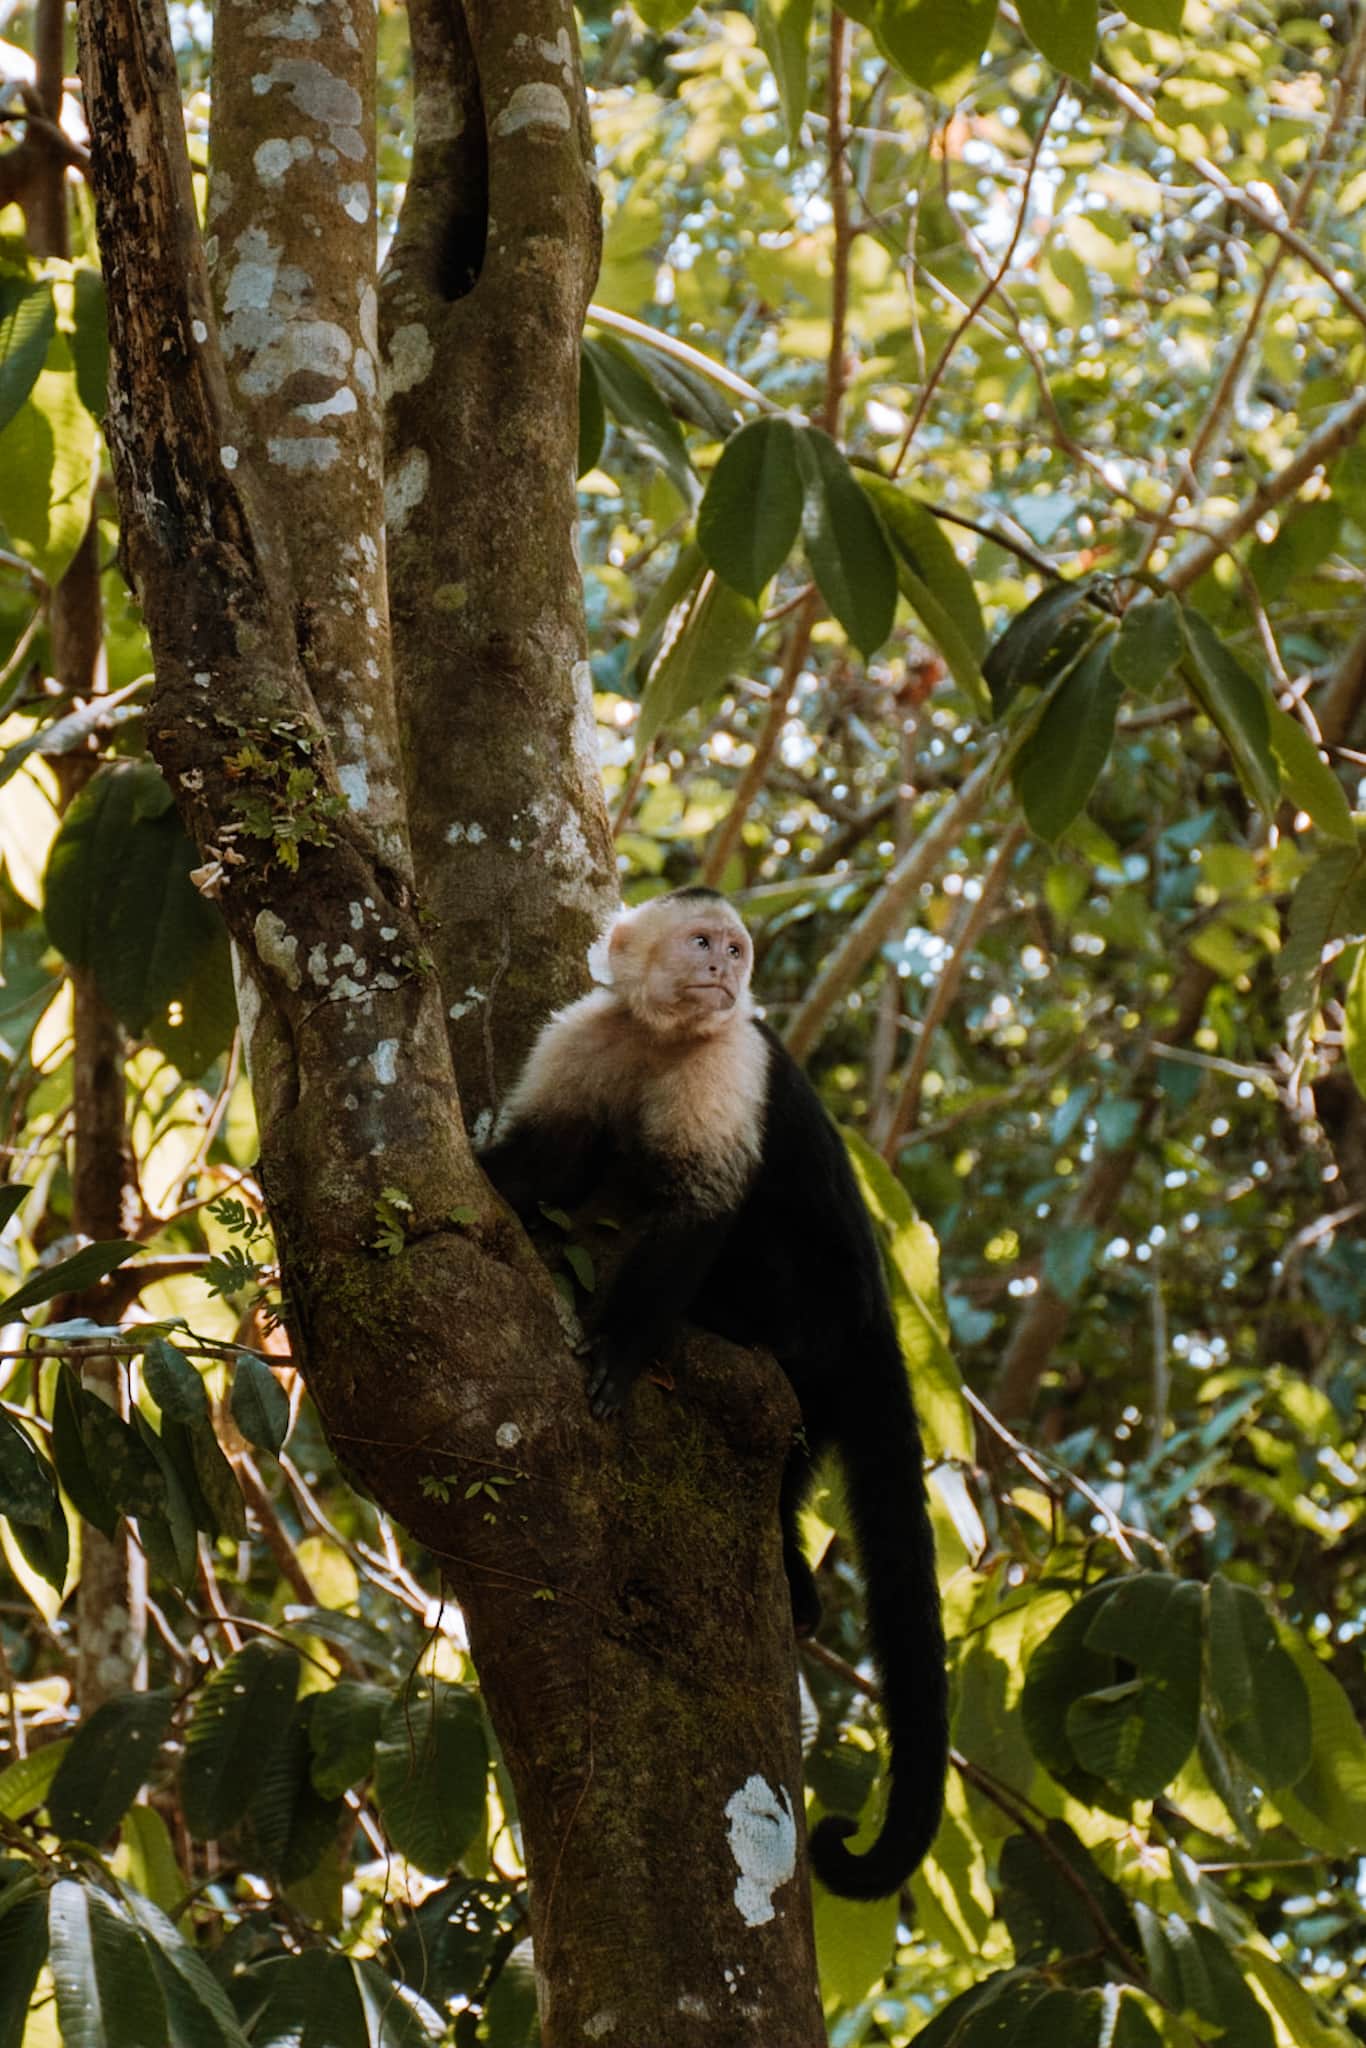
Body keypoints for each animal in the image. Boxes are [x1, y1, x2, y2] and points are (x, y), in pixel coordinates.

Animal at [483, 888, 950, 1892]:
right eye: (702, 943)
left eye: (737, 952)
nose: (722, 973)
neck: (662, 1037)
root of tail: (875, 1319)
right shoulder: (584, 1031)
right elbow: (550, 1156)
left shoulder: (731, 1059)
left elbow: (699, 1206)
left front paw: (621, 1347)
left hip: (812, 1324)